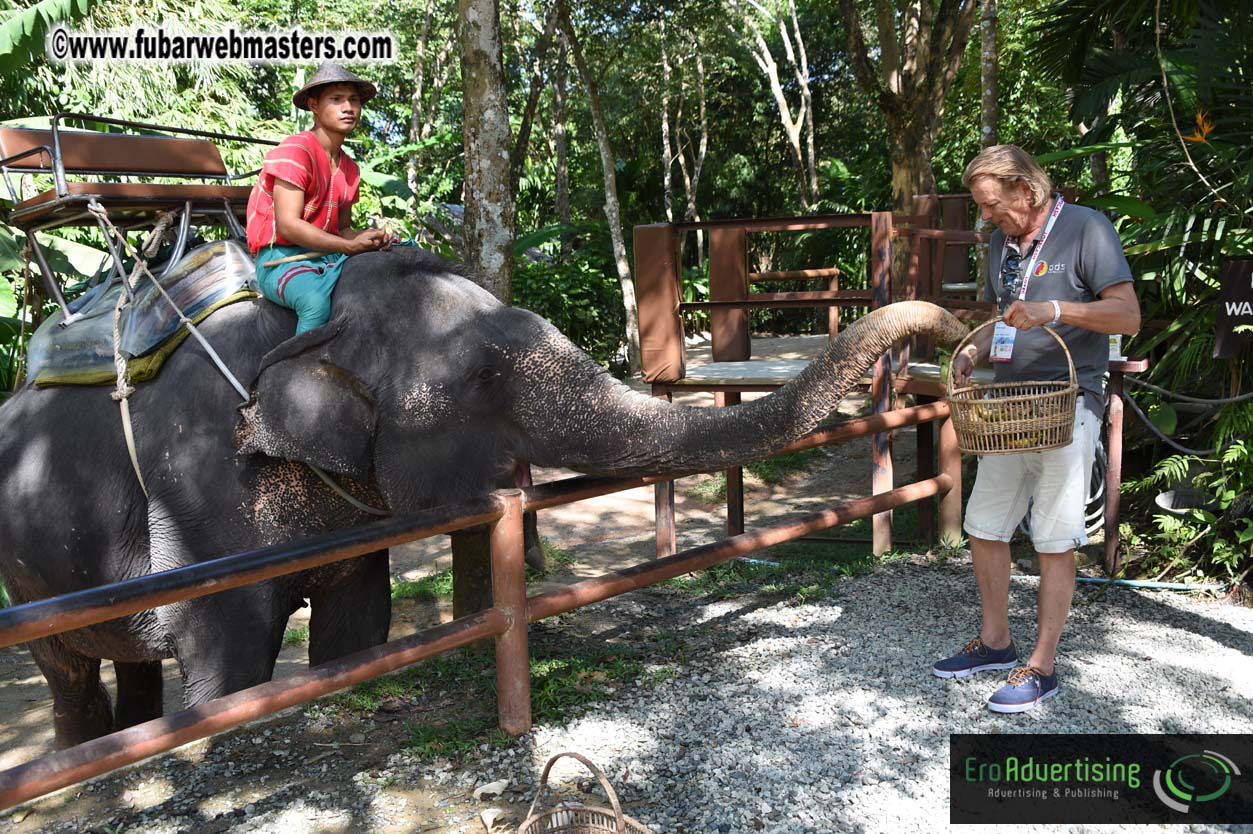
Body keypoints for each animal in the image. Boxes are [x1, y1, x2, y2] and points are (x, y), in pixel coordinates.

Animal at [0, 246, 966, 748]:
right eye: (485, 378)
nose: (957, 328)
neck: (308, 319)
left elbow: (360, 620)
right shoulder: (201, 479)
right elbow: (227, 643)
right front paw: (214, 738)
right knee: (64, 663)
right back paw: (97, 750)